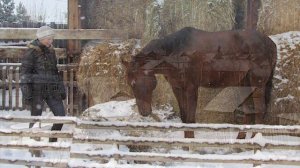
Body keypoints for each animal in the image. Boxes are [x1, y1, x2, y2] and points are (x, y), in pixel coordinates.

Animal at [122, 27, 276, 138]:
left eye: (134, 83)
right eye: (130, 84)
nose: (144, 112)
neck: (176, 51)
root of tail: (270, 43)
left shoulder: (191, 87)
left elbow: (190, 119)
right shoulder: (177, 87)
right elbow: (184, 117)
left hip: (257, 84)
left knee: (260, 110)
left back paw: (255, 139)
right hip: (243, 85)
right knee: (248, 113)